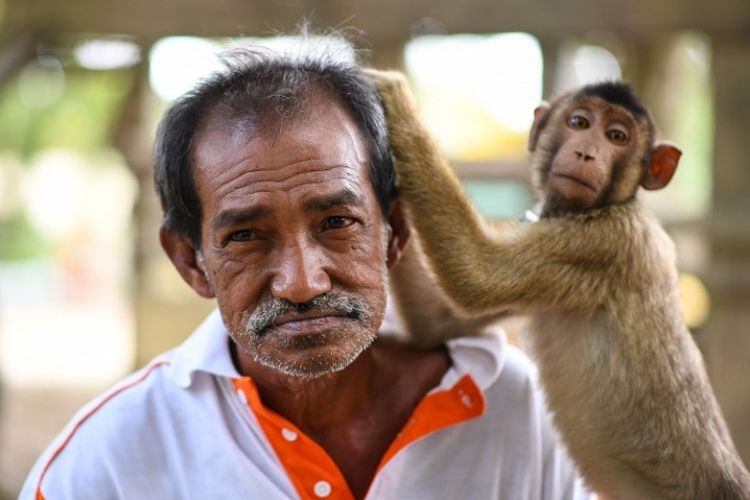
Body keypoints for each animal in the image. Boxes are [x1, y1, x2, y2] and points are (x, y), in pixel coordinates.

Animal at [368, 71, 750, 500]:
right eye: (580, 123)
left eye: (617, 136)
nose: (586, 153)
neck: (608, 205)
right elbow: (432, 322)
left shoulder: (606, 242)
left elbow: (477, 273)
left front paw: (393, 94)